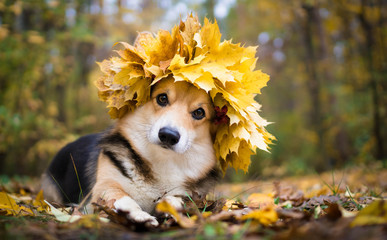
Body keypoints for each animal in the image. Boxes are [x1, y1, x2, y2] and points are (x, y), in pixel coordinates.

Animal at [41, 78, 221, 226]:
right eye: (162, 98)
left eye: (199, 112)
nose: (168, 135)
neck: (161, 161)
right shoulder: (104, 186)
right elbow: (121, 197)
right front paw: (138, 215)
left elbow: (179, 198)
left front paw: (172, 206)